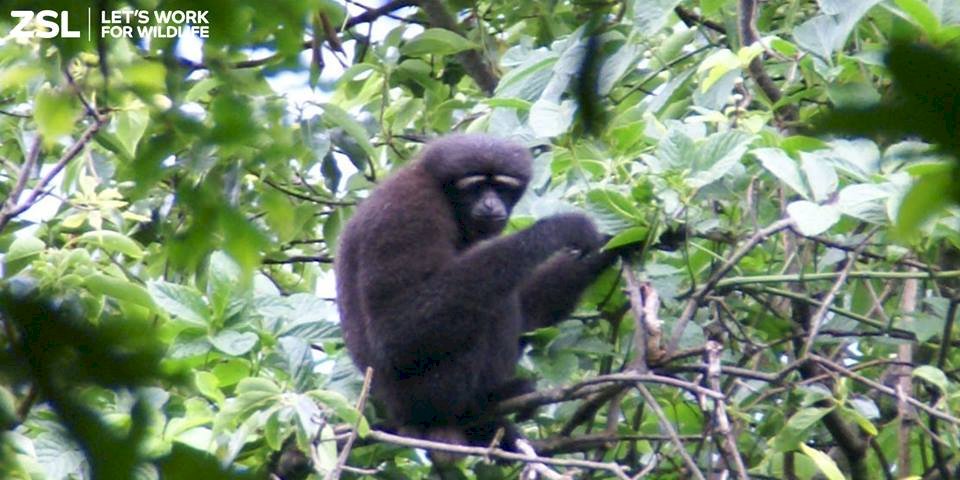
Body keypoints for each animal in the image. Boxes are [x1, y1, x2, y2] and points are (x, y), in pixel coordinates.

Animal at [334, 134, 620, 455]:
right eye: (476, 186)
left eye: (502, 186)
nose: (490, 202)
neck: (440, 190)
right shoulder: (407, 210)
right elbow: (396, 332)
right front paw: (557, 229)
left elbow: (529, 314)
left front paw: (620, 242)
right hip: (429, 392)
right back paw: (488, 399)